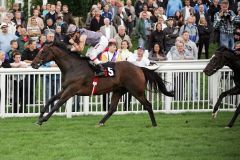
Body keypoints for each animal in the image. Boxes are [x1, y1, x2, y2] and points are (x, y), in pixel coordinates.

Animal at [31, 42, 174, 127]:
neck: (73, 67)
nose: (33, 63)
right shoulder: (66, 88)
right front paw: (40, 116)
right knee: (112, 109)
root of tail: (139, 68)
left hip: (136, 91)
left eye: (43, 51)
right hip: (119, 90)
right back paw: (100, 123)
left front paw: (43, 120)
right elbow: (51, 99)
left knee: (148, 105)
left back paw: (154, 124)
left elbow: (58, 103)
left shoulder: (72, 90)